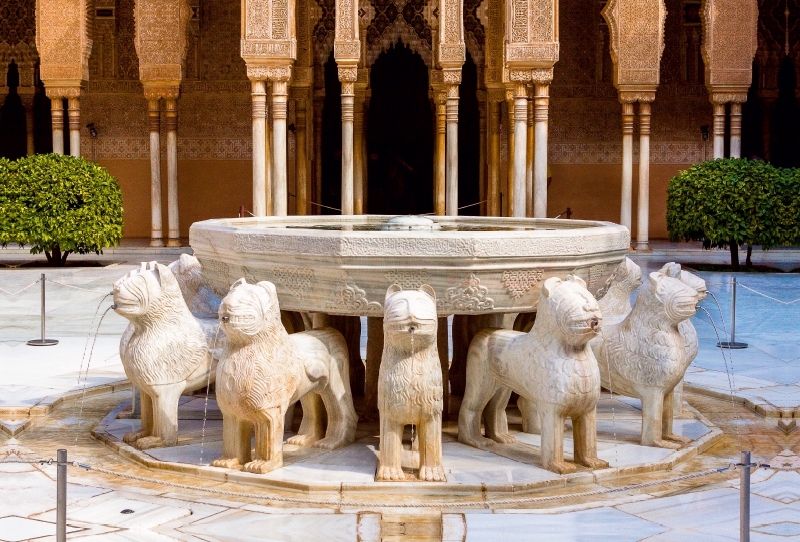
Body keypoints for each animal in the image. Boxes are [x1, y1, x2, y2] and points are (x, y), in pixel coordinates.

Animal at [211, 280, 354, 476]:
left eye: (248, 299)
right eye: (229, 294)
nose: (225, 306)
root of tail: (333, 332)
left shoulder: (269, 409)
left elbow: (269, 439)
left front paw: (261, 465)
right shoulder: (231, 411)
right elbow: (233, 441)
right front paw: (226, 462)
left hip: (335, 382)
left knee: (342, 409)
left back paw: (333, 441)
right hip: (309, 386)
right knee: (311, 406)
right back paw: (301, 439)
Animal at [376, 284, 444, 484]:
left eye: (421, 303)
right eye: (400, 303)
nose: (412, 316)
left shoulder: (432, 411)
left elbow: (431, 442)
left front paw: (432, 474)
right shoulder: (389, 409)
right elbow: (390, 443)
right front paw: (390, 473)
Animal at [460, 278, 608, 474]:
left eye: (589, 297)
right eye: (575, 299)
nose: (593, 312)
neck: (573, 352)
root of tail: (483, 333)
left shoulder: (588, 409)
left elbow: (588, 440)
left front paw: (594, 462)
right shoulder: (552, 408)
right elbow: (553, 441)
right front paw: (560, 466)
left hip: (503, 384)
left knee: (495, 407)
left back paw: (503, 438)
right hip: (481, 379)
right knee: (472, 406)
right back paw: (475, 440)